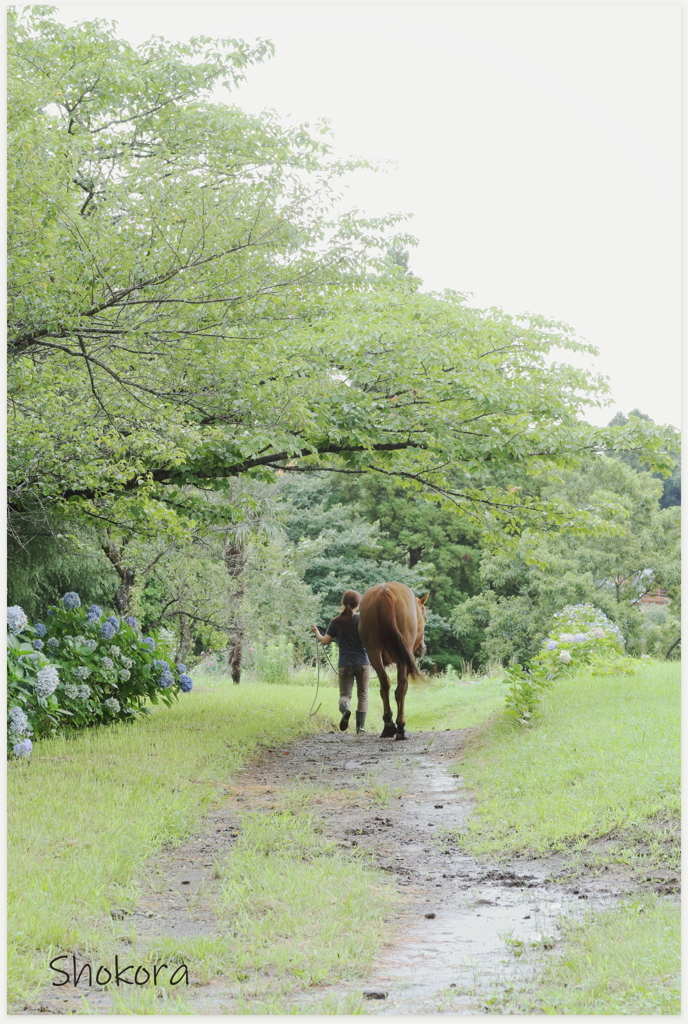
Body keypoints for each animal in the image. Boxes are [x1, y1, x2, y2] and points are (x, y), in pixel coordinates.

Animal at [358, 585, 427, 737]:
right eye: (425, 618)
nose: (422, 648)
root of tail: (385, 590)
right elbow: (402, 687)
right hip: (402, 656)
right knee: (401, 687)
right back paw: (400, 727)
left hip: (373, 651)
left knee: (385, 684)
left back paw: (388, 725)